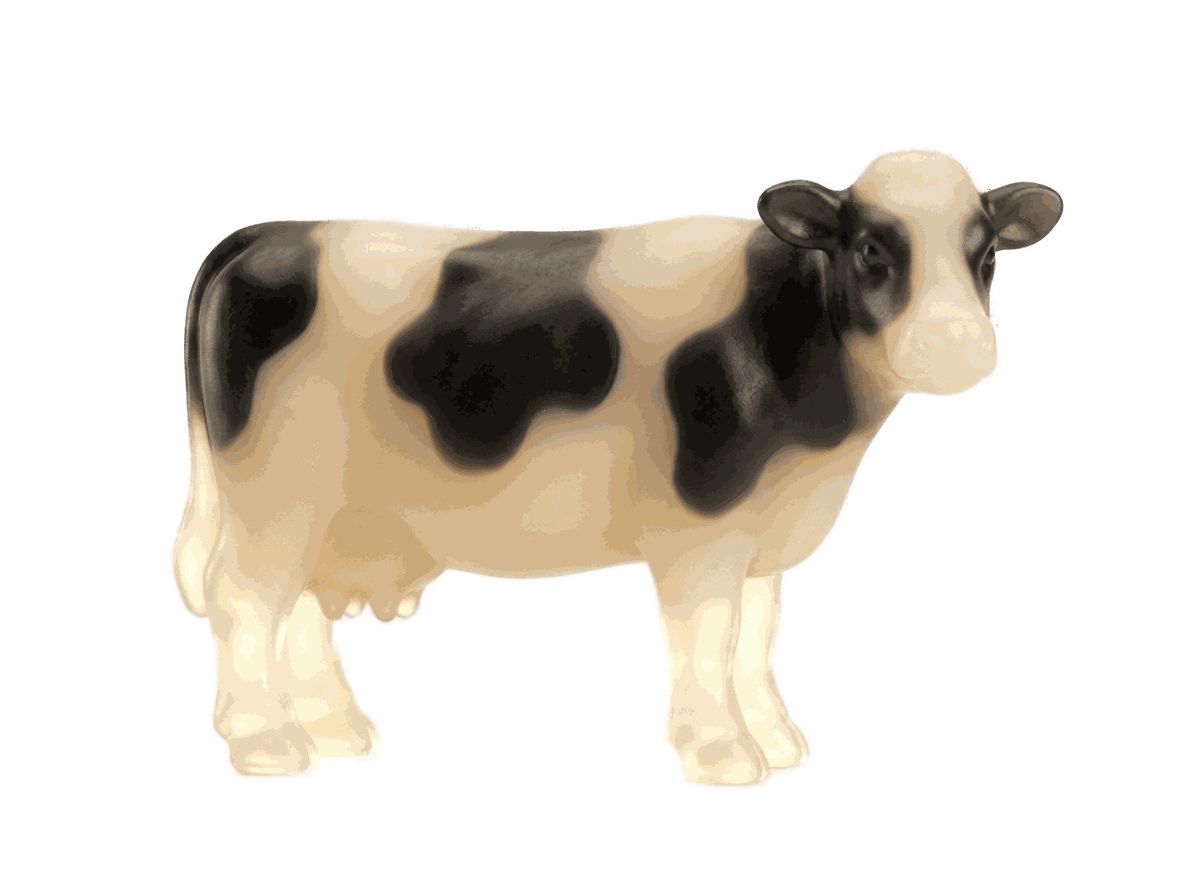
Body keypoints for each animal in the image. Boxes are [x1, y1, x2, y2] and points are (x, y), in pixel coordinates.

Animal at [169, 147, 1064, 789]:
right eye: (873, 249)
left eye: (988, 259)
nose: (958, 346)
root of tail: (271, 234)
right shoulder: (700, 524)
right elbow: (708, 638)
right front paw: (722, 754)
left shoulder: (764, 534)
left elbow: (756, 637)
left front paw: (776, 740)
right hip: (278, 486)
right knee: (243, 597)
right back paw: (268, 745)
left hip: (327, 509)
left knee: (301, 608)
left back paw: (338, 732)